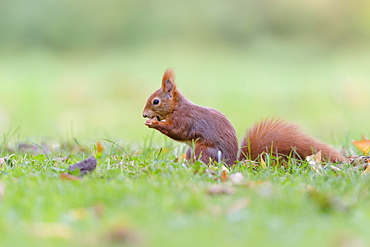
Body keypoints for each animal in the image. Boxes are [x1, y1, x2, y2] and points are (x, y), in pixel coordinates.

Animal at [143, 68, 346, 165]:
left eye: (156, 101)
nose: (144, 114)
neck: (177, 107)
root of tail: (233, 164)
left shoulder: (186, 119)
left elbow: (178, 131)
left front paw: (154, 124)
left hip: (203, 150)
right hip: (191, 151)